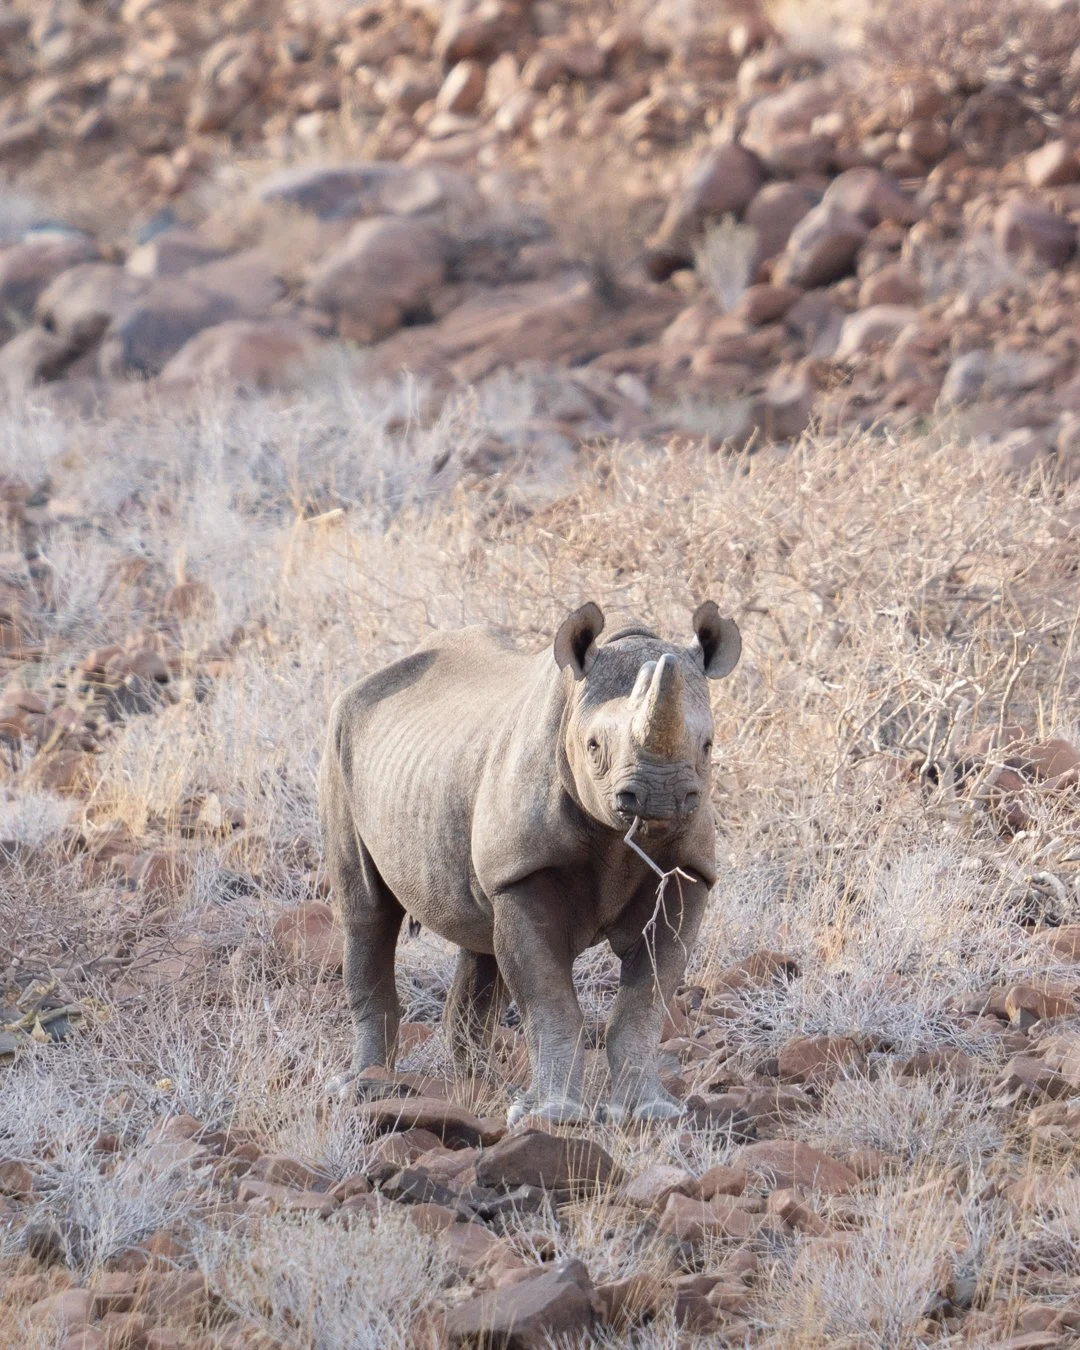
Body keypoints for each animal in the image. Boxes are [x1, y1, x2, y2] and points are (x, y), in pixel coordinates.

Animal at [319, 600, 741, 1125]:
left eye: (708, 747)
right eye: (594, 747)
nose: (658, 798)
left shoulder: (689, 873)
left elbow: (646, 1000)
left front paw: (651, 1113)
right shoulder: (524, 871)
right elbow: (549, 997)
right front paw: (553, 1116)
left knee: (479, 938)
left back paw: (485, 1090)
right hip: (340, 739)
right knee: (368, 914)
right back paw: (360, 1090)